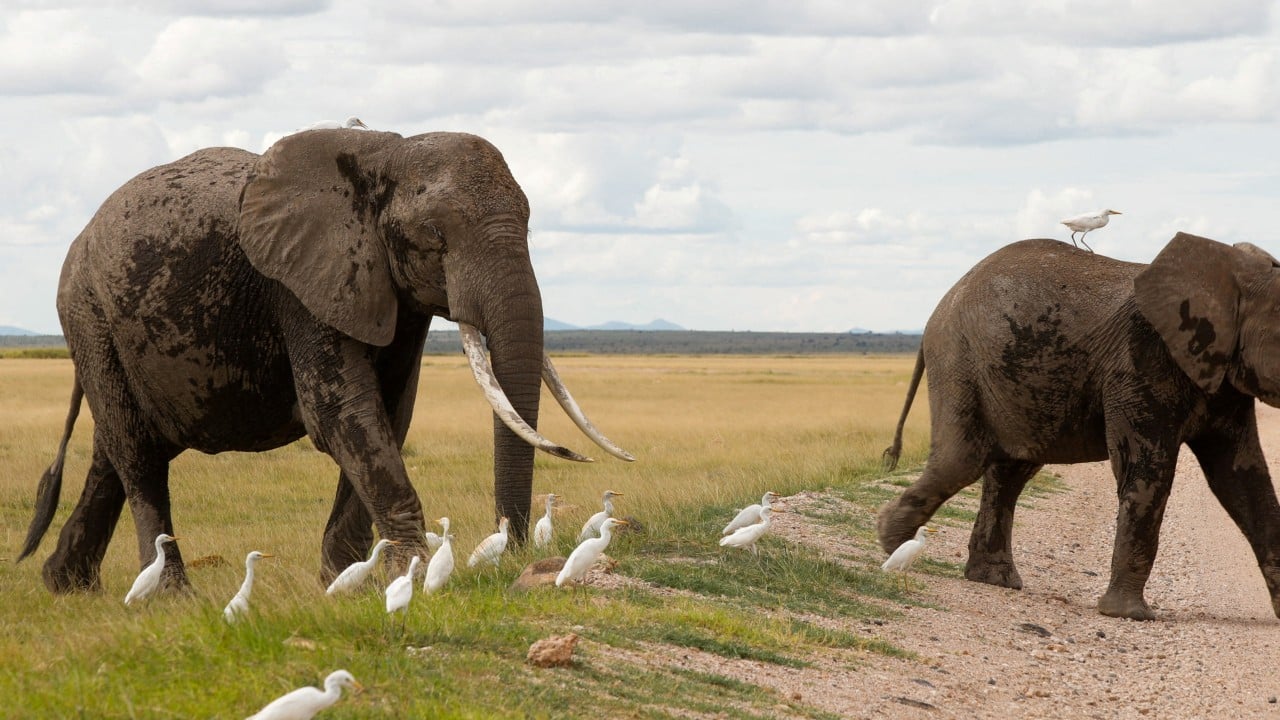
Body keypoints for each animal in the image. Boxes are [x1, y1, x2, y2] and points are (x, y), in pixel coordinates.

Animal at [18, 128, 633, 595]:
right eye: (434, 235)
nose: (516, 550)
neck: (383, 155)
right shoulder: (299, 288)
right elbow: (341, 413)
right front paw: (403, 576)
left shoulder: (389, 290)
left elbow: (389, 413)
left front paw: (344, 585)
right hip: (88, 313)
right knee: (138, 454)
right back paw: (169, 597)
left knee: (114, 451)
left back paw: (65, 586)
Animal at [879, 233, 1280, 620]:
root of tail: (942, 304)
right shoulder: (1140, 361)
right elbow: (1146, 472)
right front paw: (1129, 615)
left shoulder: (1224, 380)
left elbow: (1241, 479)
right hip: (959, 360)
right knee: (962, 460)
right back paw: (892, 543)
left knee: (1010, 471)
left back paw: (992, 579)